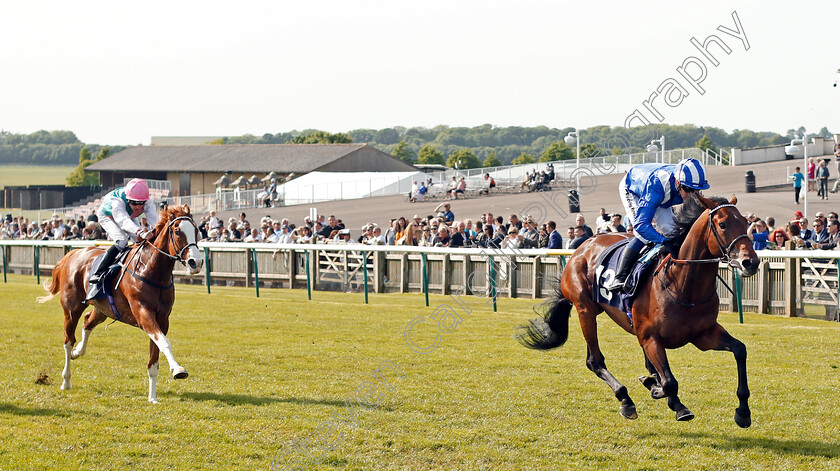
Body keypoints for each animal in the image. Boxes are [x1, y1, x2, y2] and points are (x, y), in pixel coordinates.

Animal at [38, 205, 204, 404]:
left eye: (196, 231)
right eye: (177, 231)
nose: (196, 262)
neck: (152, 271)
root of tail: (71, 254)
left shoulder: (162, 319)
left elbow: (155, 357)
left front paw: (152, 398)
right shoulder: (142, 312)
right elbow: (164, 343)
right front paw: (178, 370)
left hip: (103, 309)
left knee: (87, 322)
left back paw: (78, 352)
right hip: (71, 309)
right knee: (68, 340)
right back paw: (66, 380)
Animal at [520, 195, 760, 428]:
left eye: (746, 223)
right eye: (722, 224)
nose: (750, 262)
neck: (682, 285)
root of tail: (582, 246)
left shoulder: (703, 335)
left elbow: (740, 350)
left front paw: (743, 412)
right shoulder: (651, 338)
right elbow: (670, 381)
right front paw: (676, 404)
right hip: (585, 309)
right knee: (594, 361)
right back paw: (626, 400)